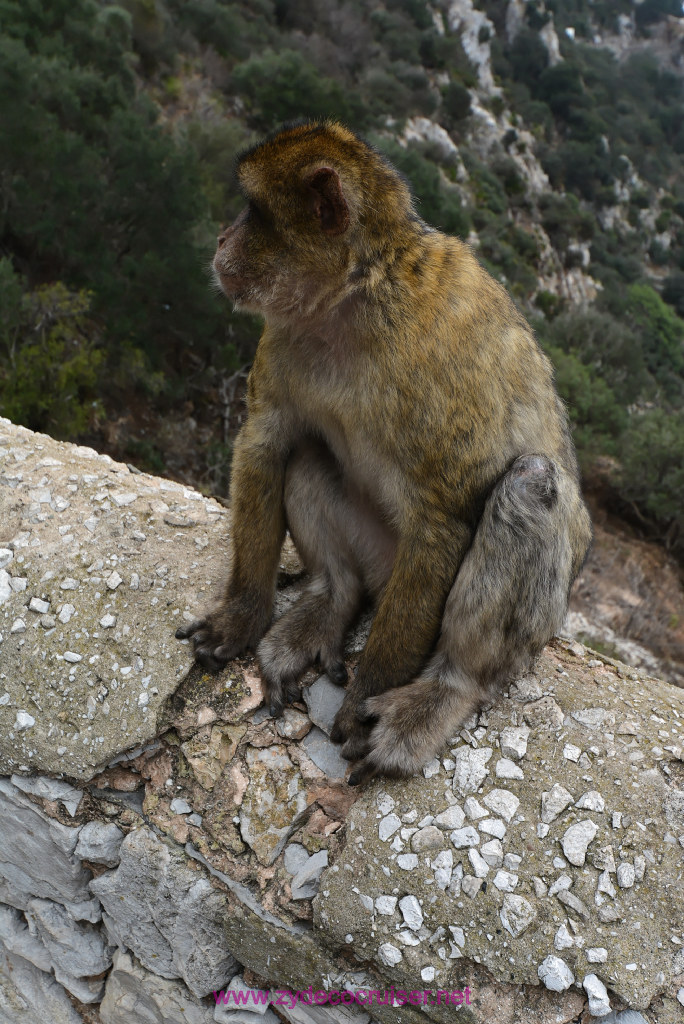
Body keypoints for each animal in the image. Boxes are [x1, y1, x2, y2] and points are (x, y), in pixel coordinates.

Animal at [178, 121, 593, 782]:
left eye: (254, 212)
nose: (222, 238)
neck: (358, 298)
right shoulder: (286, 333)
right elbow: (268, 440)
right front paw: (242, 614)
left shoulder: (435, 364)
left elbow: (442, 520)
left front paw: (363, 700)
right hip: (375, 556)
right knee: (310, 454)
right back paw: (334, 595)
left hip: (527, 623)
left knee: (529, 482)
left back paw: (446, 690)